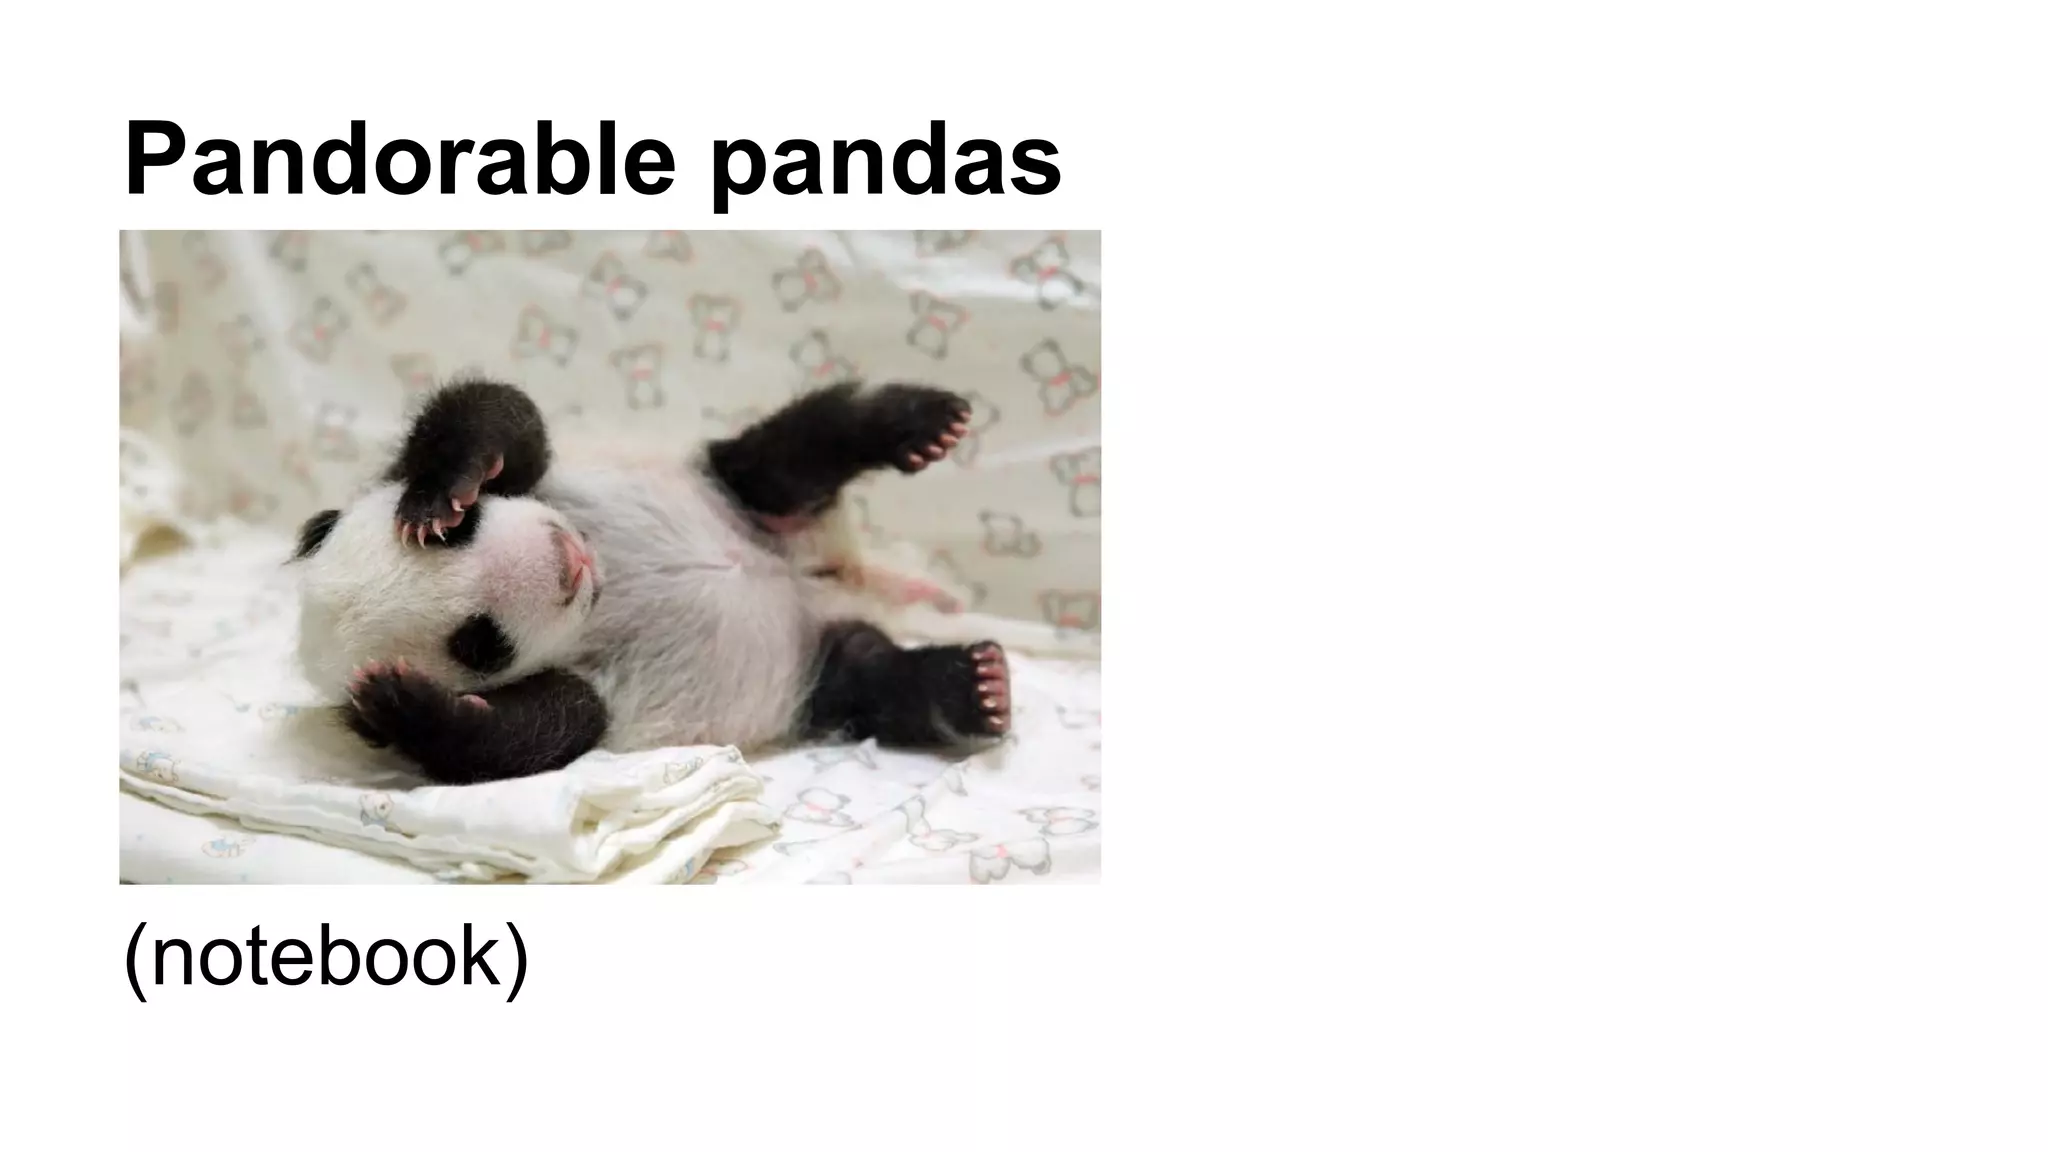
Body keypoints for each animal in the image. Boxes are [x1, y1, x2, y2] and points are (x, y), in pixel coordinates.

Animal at [287, 375, 1011, 785]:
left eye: (468, 533)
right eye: (479, 642)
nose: (564, 560)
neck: (603, 590)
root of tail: (830, 581)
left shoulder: (544, 482)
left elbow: (498, 418)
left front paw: (441, 493)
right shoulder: (579, 690)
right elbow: (524, 740)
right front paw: (401, 705)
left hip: (729, 490)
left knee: (793, 451)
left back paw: (919, 424)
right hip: (813, 679)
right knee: (871, 678)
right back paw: (975, 686)